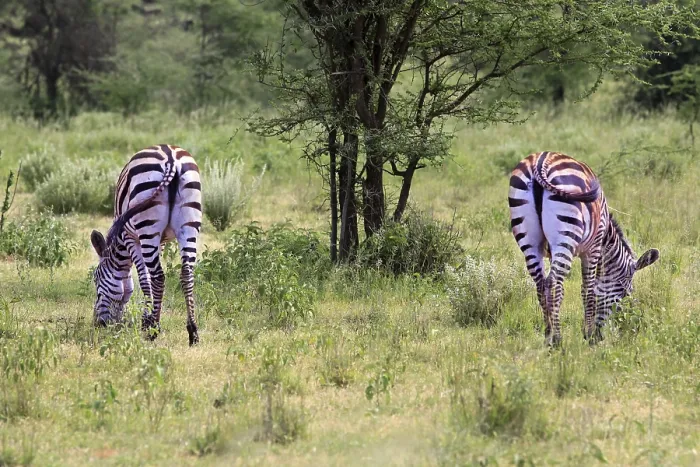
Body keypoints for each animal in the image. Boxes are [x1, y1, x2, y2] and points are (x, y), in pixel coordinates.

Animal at [90, 144, 202, 346]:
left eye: (96, 278)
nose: (98, 323)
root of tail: (171, 158)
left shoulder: (130, 238)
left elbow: (144, 279)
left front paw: (146, 321)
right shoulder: (161, 240)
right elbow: (147, 277)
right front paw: (149, 317)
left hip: (147, 226)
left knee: (158, 276)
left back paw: (153, 331)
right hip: (188, 226)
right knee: (187, 273)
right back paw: (193, 332)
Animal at [508, 151, 659, 346]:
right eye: (625, 293)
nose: (601, 335)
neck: (606, 237)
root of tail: (540, 163)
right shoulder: (593, 248)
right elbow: (588, 291)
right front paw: (589, 335)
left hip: (529, 240)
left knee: (542, 285)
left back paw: (548, 337)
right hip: (566, 232)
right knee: (553, 284)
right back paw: (557, 341)